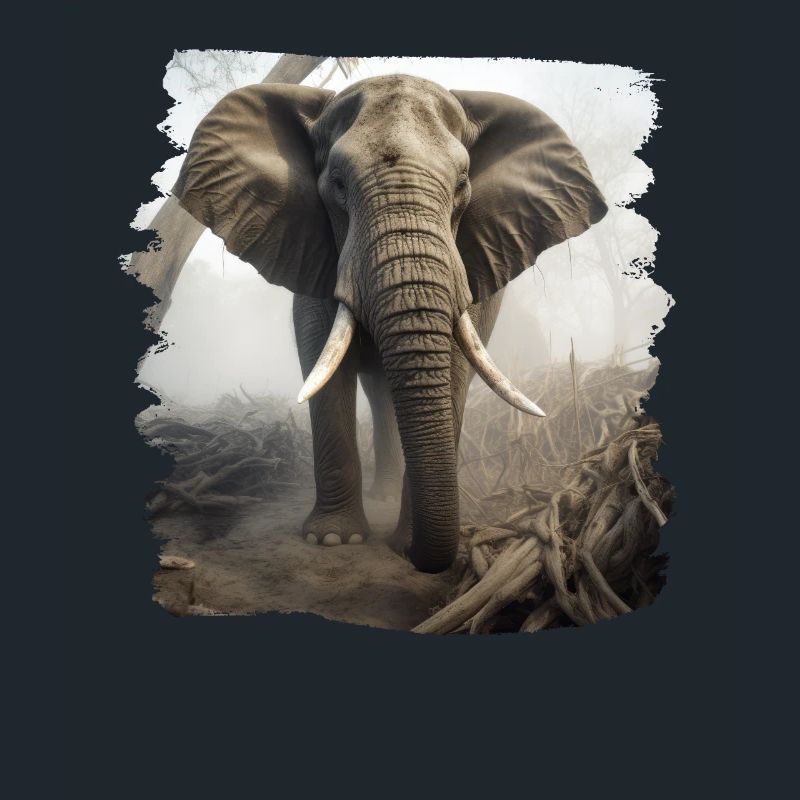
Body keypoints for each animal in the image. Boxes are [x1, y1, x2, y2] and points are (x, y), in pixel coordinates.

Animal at [172, 74, 607, 573]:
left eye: (462, 185)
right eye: (338, 185)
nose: (418, 557)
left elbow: (455, 365)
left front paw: (401, 542)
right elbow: (323, 359)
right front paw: (333, 540)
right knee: (379, 392)